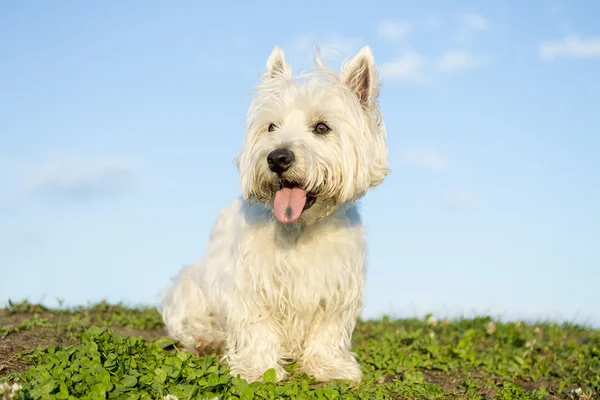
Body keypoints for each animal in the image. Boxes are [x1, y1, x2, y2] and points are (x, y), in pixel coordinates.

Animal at [157, 44, 390, 384]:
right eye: (271, 127)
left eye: (322, 127)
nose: (277, 158)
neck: (300, 229)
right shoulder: (251, 283)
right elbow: (257, 324)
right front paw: (257, 368)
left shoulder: (336, 283)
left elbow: (328, 327)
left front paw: (330, 366)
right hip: (189, 287)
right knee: (187, 321)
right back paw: (206, 339)